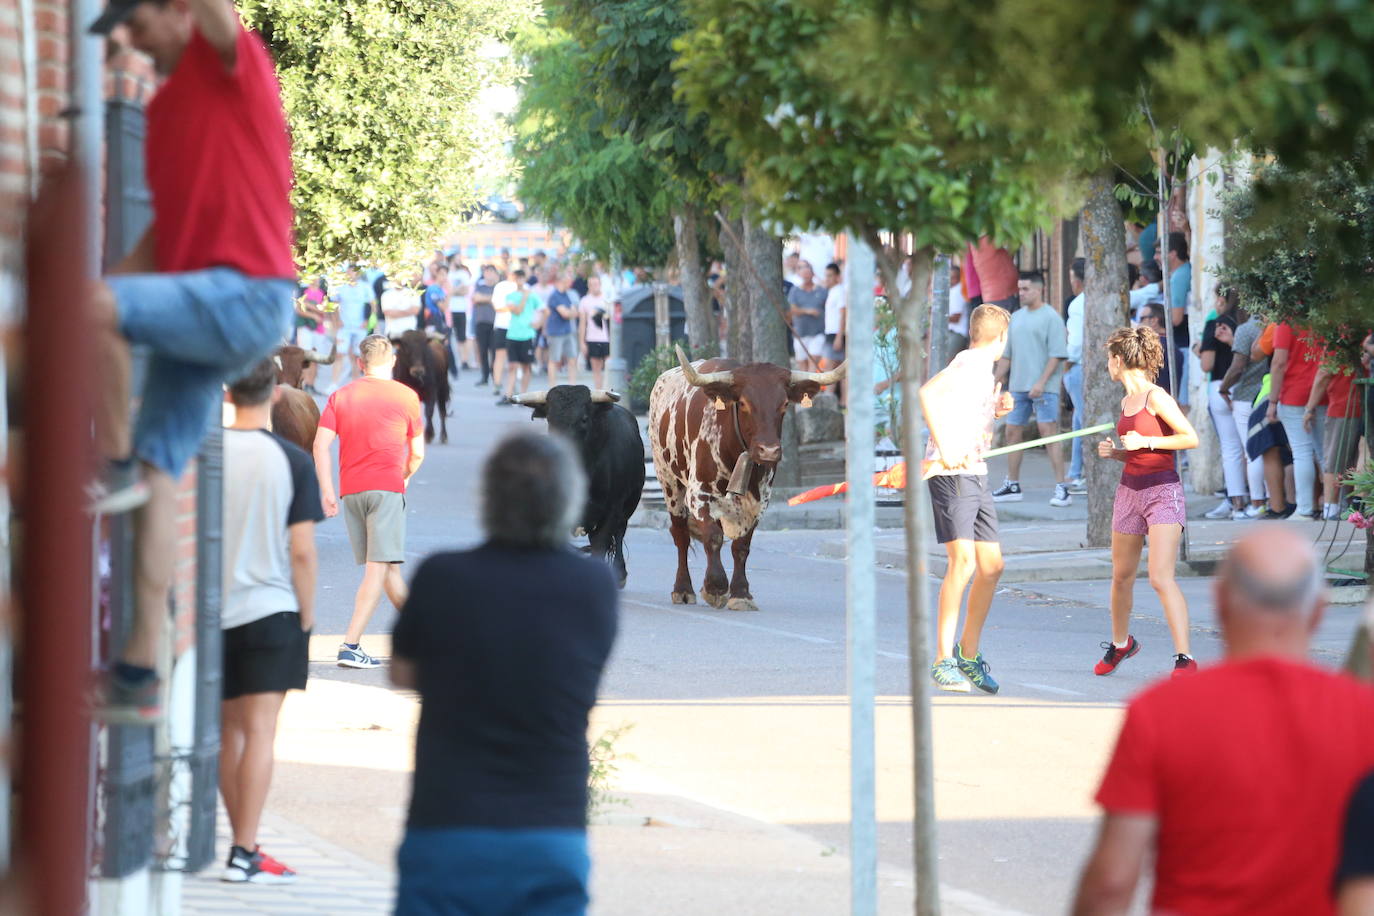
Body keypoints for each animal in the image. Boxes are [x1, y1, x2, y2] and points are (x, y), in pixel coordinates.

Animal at [513, 384, 645, 587]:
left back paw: (620, 573)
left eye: (583, 419)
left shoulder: (611, 510)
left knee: (619, 533)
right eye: (550, 419)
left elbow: (601, 543)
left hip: (628, 504)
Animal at [645, 347, 846, 612]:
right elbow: (713, 537)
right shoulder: (699, 495)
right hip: (669, 482)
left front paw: (740, 593)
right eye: (743, 403)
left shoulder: (759, 502)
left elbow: (741, 546)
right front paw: (715, 587)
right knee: (680, 535)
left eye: (784, 404)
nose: (769, 451)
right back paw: (683, 589)